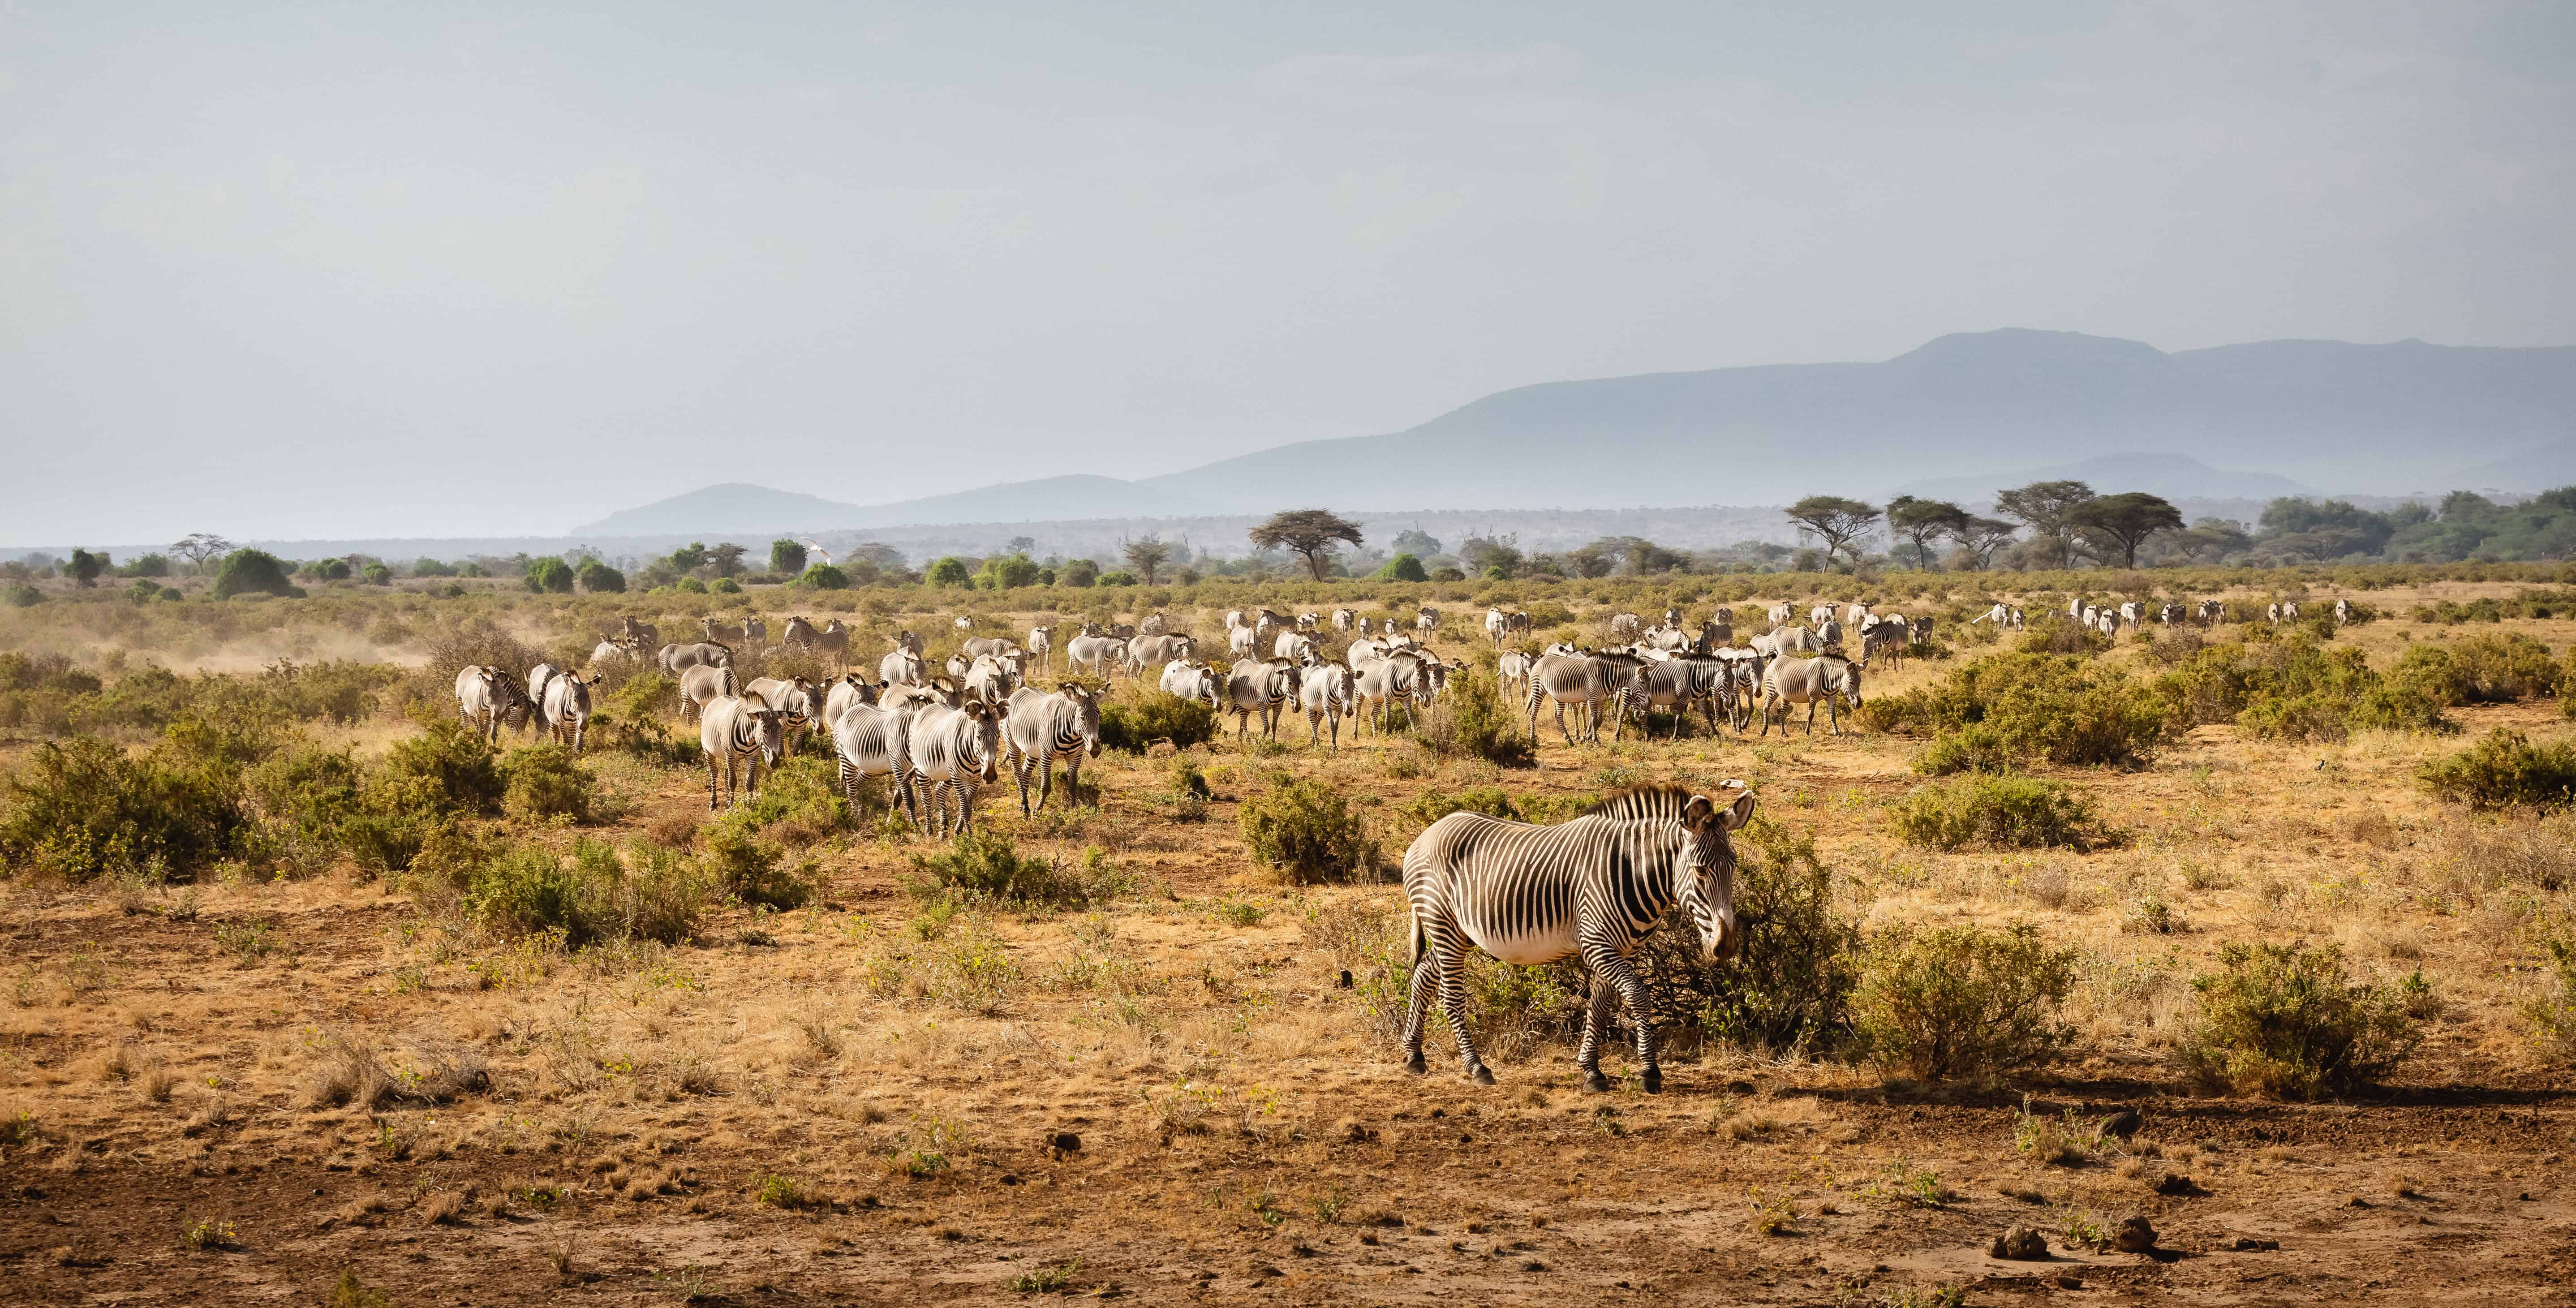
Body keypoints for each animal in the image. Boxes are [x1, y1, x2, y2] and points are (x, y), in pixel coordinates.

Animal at [699, 693, 788, 810]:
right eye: (764, 730)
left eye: (779, 729)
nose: (775, 762)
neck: (749, 739)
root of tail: (716, 700)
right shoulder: (730, 755)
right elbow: (733, 782)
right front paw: (731, 807)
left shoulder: (754, 757)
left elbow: (750, 783)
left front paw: (749, 805)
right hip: (709, 750)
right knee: (714, 773)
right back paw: (713, 803)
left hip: (735, 758)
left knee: (727, 773)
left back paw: (728, 800)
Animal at [907, 700, 1003, 836]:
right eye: (978, 737)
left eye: (998, 737)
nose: (990, 776)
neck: (974, 758)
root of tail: (930, 705)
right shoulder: (958, 778)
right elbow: (965, 809)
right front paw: (969, 835)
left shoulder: (976, 780)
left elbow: (967, 807)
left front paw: (959, 830)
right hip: (922, 769)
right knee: (926, 798)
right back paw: (929, 830)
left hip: (947, 774)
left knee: (940, 791)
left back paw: (943, 825)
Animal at [1003, 683, 1101, 814]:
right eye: (1082, 718)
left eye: (1099, 717)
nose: (1095, 751)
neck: (1072, 735)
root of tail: (1020, 689)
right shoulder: (1046, 757)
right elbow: (1046, 787)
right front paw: (1038, 810)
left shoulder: (1075, 757)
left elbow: (1072, 784)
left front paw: (1073, 809)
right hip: (1012, 744)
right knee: (1018, 773)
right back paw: (1025, 807)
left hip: (1032, 751)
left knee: (1025, 771)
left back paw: (1024, 803)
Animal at [1401, 784, 1756, 1091]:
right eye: (1700, 871)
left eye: (1734, 867)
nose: (1726, 946)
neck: (1631, 871)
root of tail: (1429, 831)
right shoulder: (1596, 944)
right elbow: (1638, 996)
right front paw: (1649, 1072)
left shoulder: (1623, 949)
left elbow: (1599, 1006)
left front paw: (1591, 1071)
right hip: (1443, 924)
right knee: (1450, 996)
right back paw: (1476, 1067)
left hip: (1457, 933)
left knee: (1422, 976)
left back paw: (1413, 1056)